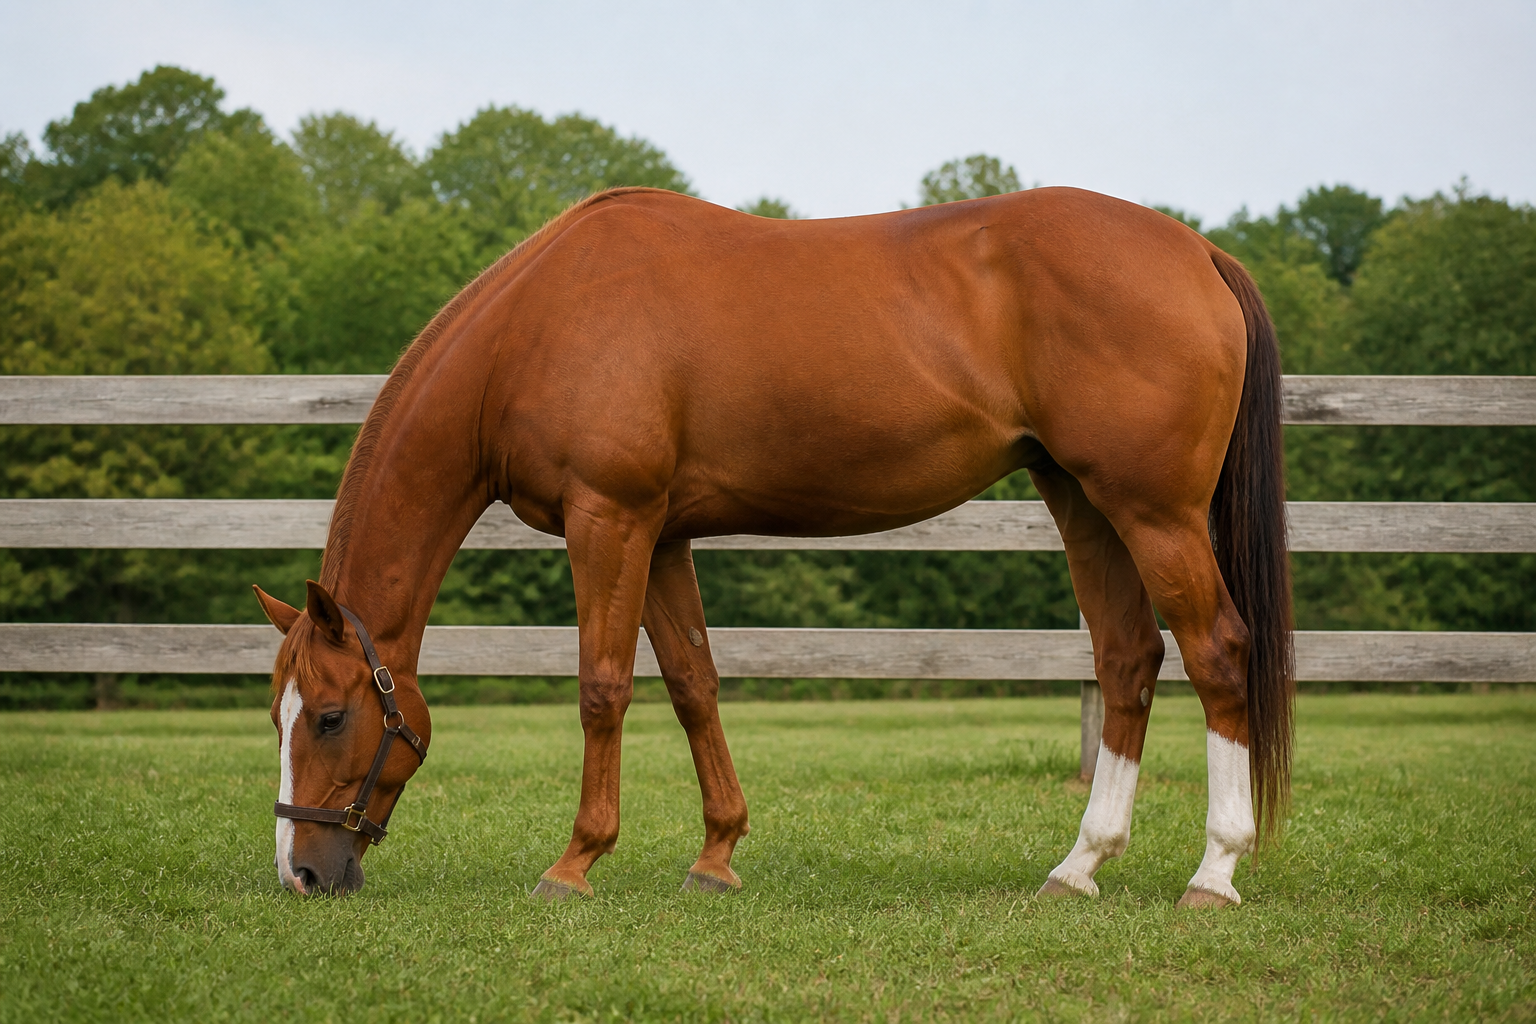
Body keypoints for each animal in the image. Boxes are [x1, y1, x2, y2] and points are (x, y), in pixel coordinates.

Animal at [252, 185, 1292, 906]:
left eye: (332, 717)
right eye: (277, 714)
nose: (300, 872)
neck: (539, 323)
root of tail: (1197, 250)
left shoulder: (609, 520)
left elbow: (602, 688)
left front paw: (576, 861)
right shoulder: (663, 533)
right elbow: (692, 685)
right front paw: (716, 855)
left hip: (1153, 511)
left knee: (1215, 653)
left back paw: (1214, 872)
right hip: (1082, 499)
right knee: (1128, 660)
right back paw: (1080, 865)